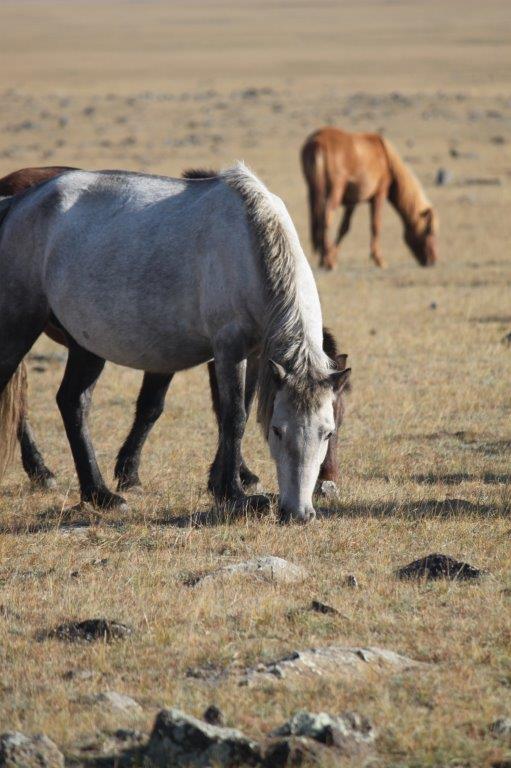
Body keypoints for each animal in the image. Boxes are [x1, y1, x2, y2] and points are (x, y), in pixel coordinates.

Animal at [0, 162, 350, 520]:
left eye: (328, 431)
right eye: (277, 430)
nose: (299, 512)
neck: (250, 244)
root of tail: (16, 203)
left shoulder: (254, 354)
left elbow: (239, 409)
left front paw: (224, 484)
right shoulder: (229, 347)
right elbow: (233, 416)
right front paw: (233, 494)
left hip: (86, 346)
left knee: (73, 403)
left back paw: (99, 494)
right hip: (18, 326)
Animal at [300, 127, 440, 270]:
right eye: (430, 232)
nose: (433, 261)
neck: (387, 160)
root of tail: (317, 142)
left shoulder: (352, 202)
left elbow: (344, 228)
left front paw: (332, 253)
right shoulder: (379, 195)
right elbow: (375, 225)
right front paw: (379, 259)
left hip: (313, 191)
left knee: (318, 219)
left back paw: (324, 257)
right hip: (335, 191)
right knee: (326, 218)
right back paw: (328, 260)